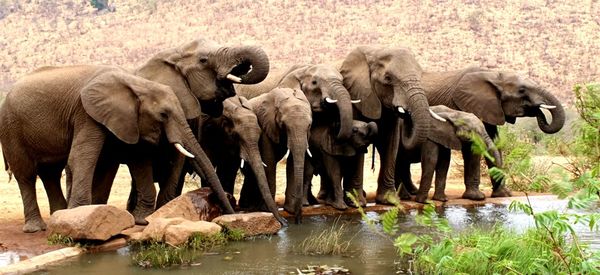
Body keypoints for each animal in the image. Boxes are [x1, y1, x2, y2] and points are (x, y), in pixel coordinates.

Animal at [0, 66, 213, 233]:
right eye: (163, 114)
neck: (136, 83)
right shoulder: (86, 112)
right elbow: (81, 157)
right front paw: (79, 217)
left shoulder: (117, 119)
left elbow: (116, 162)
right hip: (11, 127)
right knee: (26, 175)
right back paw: (36, 228)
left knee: (50, 173)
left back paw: (58, 216)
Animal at [239, 88, 314, 224]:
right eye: (285, 125)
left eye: (309, 126)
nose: (298, 221)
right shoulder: (265, 124)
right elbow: (269, 160)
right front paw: (266, 210)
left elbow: (292, 162)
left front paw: (290, 210)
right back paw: (248, 206)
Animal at [338, 46, 432, 205]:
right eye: (388, 79)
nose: (406, 112)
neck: (375, 51)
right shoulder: (354, 96)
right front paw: (357, 203)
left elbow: (391, 143)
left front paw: (390, 201)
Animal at [396, 67, 564, 201]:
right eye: (522, 90)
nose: (538, 110)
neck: (493, 75)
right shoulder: (463, 105)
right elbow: (474, 148)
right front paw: (476, 197)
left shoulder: (489, 108)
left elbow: (494, 143)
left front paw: (503, 194)